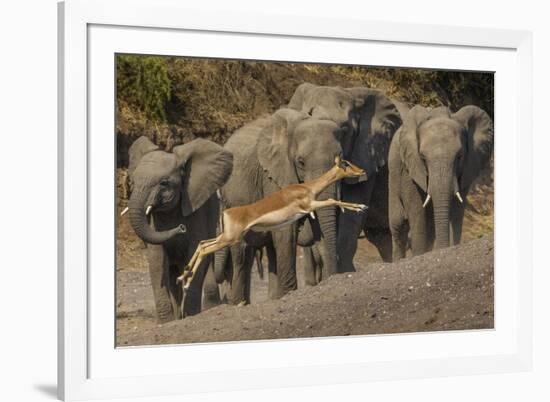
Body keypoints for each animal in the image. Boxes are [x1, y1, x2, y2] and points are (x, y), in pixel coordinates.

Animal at [126, 137, 234, 322]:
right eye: (132, 182)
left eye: (164, 183)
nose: (181, 228)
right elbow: (156, 260)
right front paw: (166, 322)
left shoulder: (197, 209)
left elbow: (194, 254)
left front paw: (191, 315)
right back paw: (178, 316)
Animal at [215, 108, 348, 304]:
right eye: (300, 162)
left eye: (341, 159)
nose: (332, 276)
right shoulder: (273, 176)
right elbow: (286, 231)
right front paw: (290, 293)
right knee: (241, 254)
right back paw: (238, 303)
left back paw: (272, 298)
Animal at [388, 104, 496, 260]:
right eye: (423, 157)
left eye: (459, 156)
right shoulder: (410, 167)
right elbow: (417, 211)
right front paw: (420, 255)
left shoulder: (468, 166)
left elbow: (457, 209)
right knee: (399, 225)